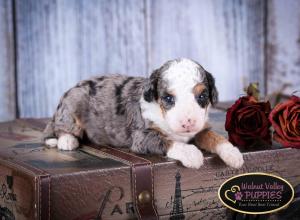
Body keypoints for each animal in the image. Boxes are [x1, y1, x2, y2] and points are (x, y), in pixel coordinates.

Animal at [44, 58, 244, 168]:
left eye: (202, 96)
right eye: (168, 98)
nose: (188, 122)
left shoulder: (200, 129)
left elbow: (216, 137)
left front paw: (233, 154)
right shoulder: (142, 137)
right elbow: (168, 141)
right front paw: (191, 154)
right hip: (72, 105)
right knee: (61, 128)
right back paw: (67, 140)